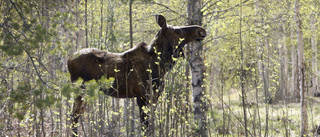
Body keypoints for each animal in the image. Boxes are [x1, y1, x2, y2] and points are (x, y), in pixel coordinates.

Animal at [68, 14, 208, 135]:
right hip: (80, 90)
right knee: (74, 116)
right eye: (177, 31)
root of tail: (68, 60)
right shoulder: (143, 96)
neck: (161, 64)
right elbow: (145, 127)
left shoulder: (154, 97)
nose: (201, 30)